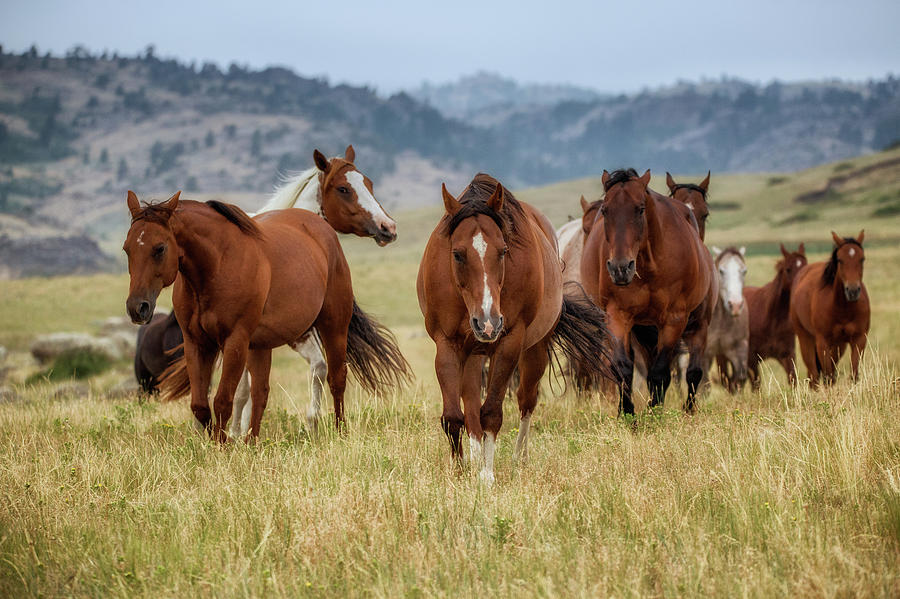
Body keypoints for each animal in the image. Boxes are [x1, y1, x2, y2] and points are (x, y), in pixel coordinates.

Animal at [124, 190, 412, 442]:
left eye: (159, 248)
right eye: (127, 248)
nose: (137, 307)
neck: (218, 265)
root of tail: (321, 228)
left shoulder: (235, 341)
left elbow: (223, 400)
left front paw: (222, 448)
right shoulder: (197, 343)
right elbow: (200, 405)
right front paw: (215, 443)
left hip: (334, 327)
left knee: (336, 378)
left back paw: (340, 432)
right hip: (261, 346)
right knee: (261, 393)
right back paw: (252, 442)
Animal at [418, 173, 616, 482]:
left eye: (503, 252)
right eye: (458, 254)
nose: (488, 322)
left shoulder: (509, 344)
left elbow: (492, 413)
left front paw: (487, 475)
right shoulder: (447, 343)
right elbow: (453, 416)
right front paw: (460, 472)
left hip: (534, 350)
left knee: (526, 400)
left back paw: (518, 457)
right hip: (473, 353)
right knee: (470, 401)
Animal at [580, 166, 720, 414]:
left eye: (640, 209)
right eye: (605, 210)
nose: (620, 268)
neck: (649, 265)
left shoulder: (675, 320)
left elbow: (661, 372)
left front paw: (655, 412)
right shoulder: (618, 316)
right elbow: (623, 368)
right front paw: (627, 413)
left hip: (695, 327)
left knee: (692, 371)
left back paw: (688, 410)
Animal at [744, 244, 808, 390]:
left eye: (806, 266)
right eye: (788, 269)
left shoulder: (787, 354)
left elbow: (793, 379)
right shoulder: (751, 359)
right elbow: (756, 386)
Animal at [792, 232, 868, 386]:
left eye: (862, 259)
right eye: (840, 260)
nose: (852, 291)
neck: (843, 309)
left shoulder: (859, 339)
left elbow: (854, 374)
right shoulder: (823, 343)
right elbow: (827, 376)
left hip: (839, 345)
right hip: (805, 338)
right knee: (814, 374)